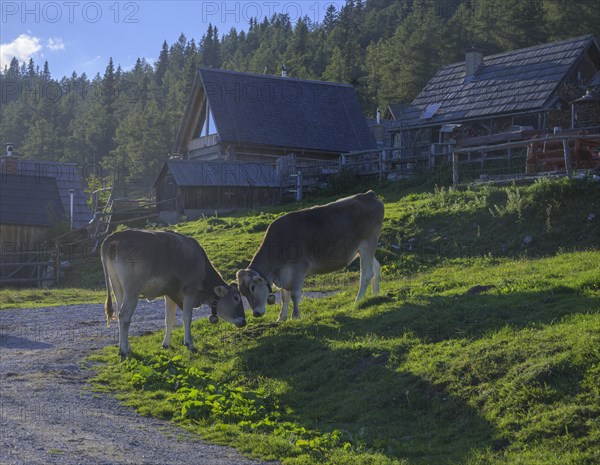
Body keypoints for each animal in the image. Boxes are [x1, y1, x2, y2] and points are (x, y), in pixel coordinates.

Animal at [237, 190, 382, 320]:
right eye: (242, 293)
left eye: (252, 288)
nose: (256, 313)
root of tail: (369, 195)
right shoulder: (285, 275)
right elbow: (284, 296)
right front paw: (281, 318)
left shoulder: (299, 269)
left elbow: (294, 294)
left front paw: (295, 316)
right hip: (365, 248)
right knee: (376, 267)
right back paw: (375, 294)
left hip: (367, 243)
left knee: (367, 274)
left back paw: (358, 300)